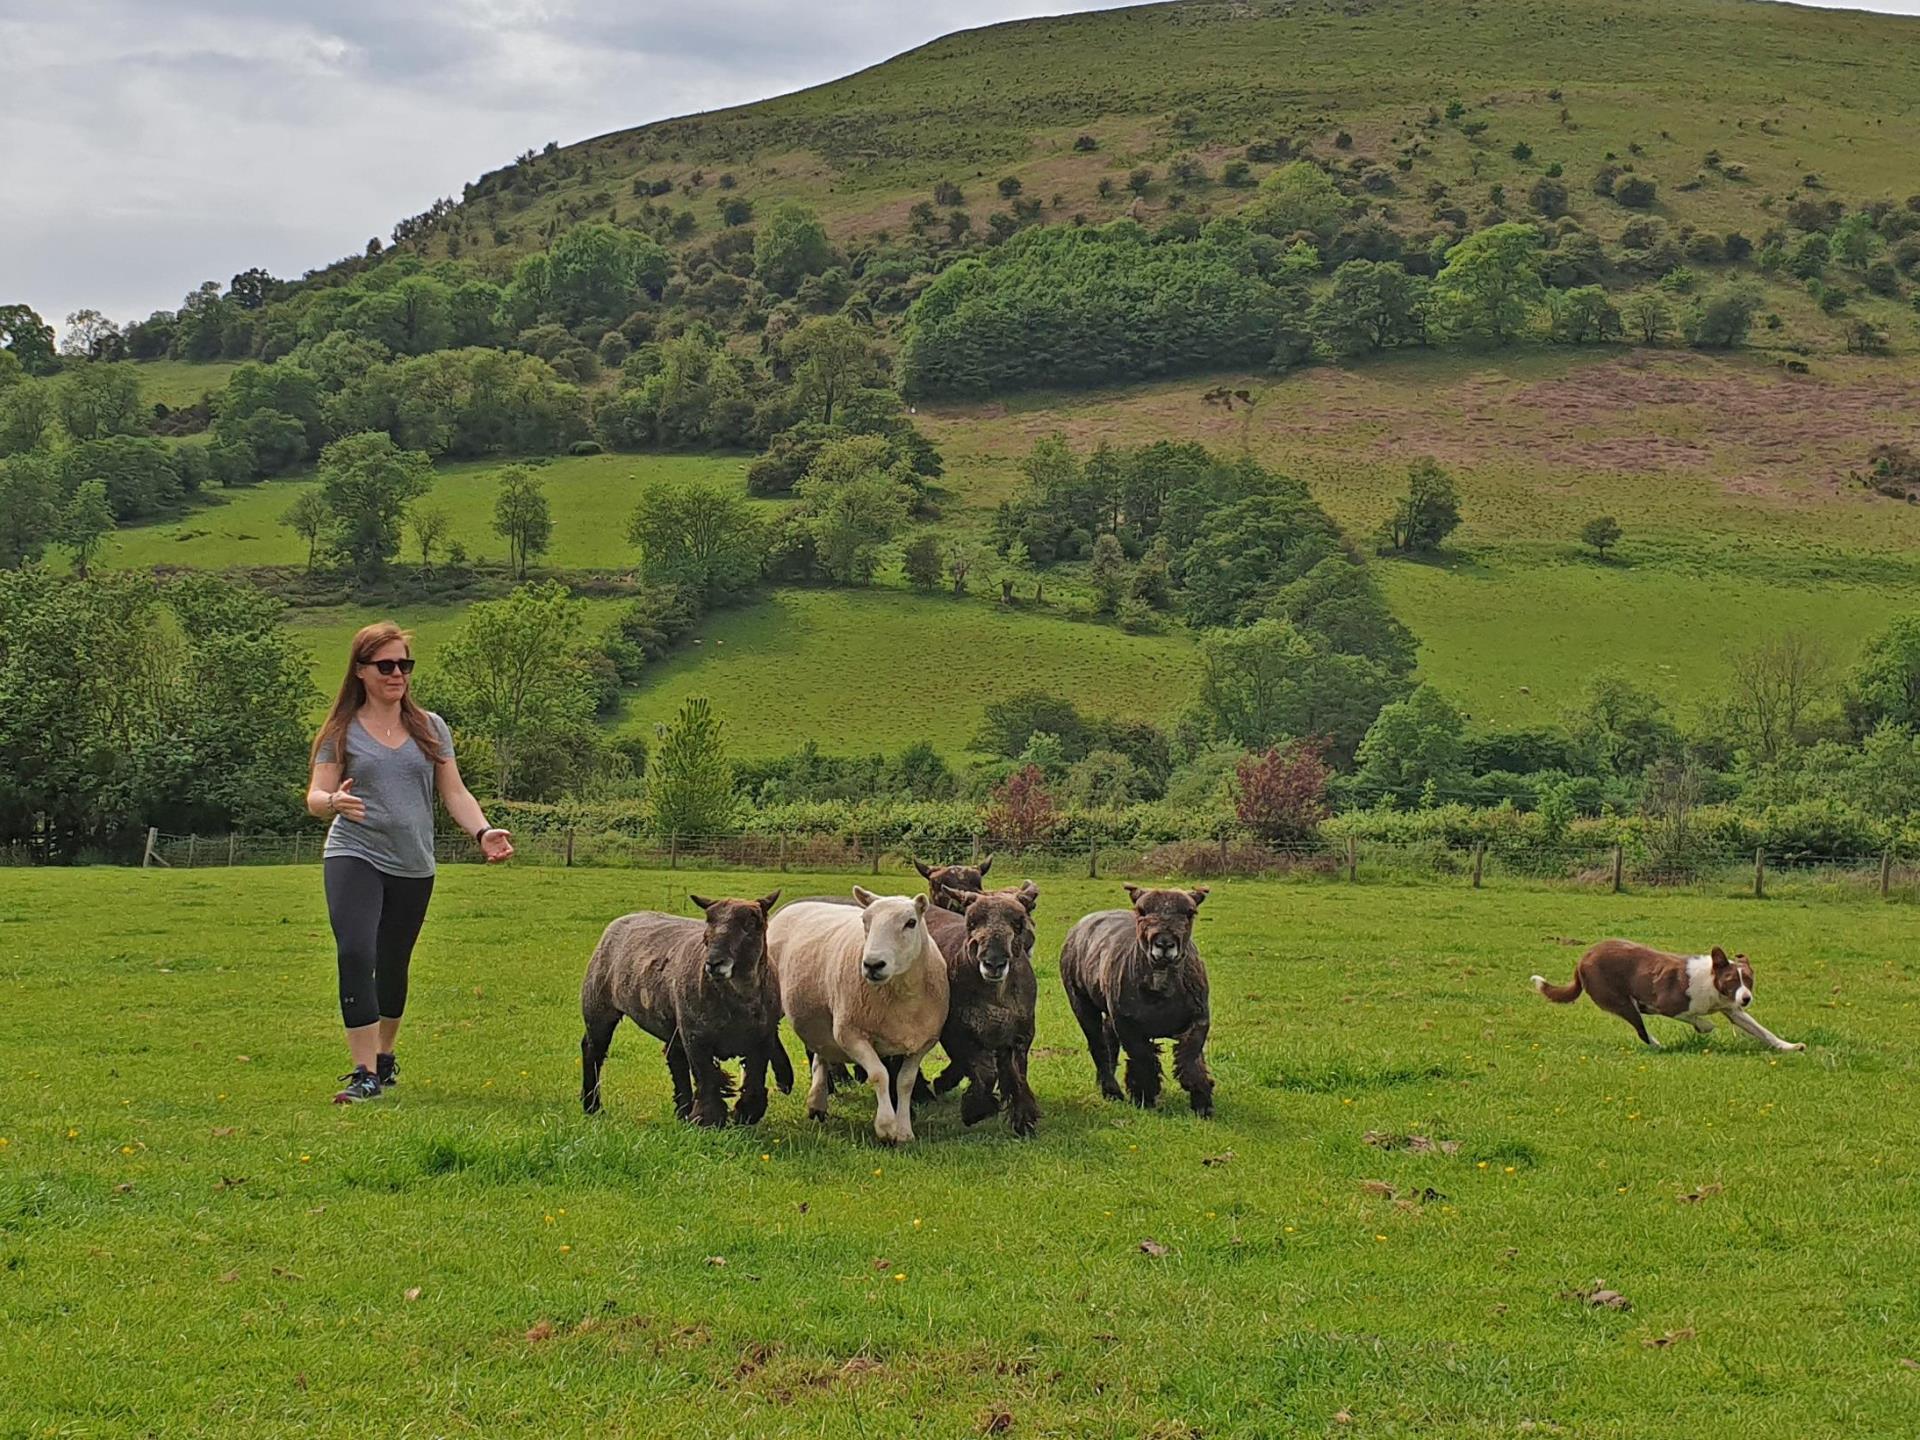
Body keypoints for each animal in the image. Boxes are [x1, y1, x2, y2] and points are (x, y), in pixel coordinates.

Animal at [583, 890, 794, 1128]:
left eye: (751, 923)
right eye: (709, 921)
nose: (714, 963)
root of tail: (623, 919)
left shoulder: (761, 1040)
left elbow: (755, 1080)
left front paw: (745, 1113)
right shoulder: (696, 1036)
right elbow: (707, 1076)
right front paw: (708, 1120)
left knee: (675, 1058)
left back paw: (682, 1111)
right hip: (598, 1005)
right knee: (592, 1051)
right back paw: (592, 1106)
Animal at [925, 879, 1044, 1136]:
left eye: (1018, 922)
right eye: (971, 922)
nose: (994, 963)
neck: (996, 998)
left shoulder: (1020, 1035)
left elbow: (1017, 1075)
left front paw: (1024, 1121)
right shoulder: (957, 1032)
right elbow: (986, 1073)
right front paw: (974, 1110)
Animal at [1052, 887, 1213, 1121]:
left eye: (1190, 912)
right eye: (1141, 911)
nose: (1164, 943)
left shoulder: (1199, 1018)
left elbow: (1190, 1058)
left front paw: (1203, 1104)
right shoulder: (1127, 1024)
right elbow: (1143, 1057)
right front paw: (1144, 1097)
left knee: (1108, 1041)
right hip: (1080, 1001)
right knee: (1098, 1045)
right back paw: (1111, 1091)